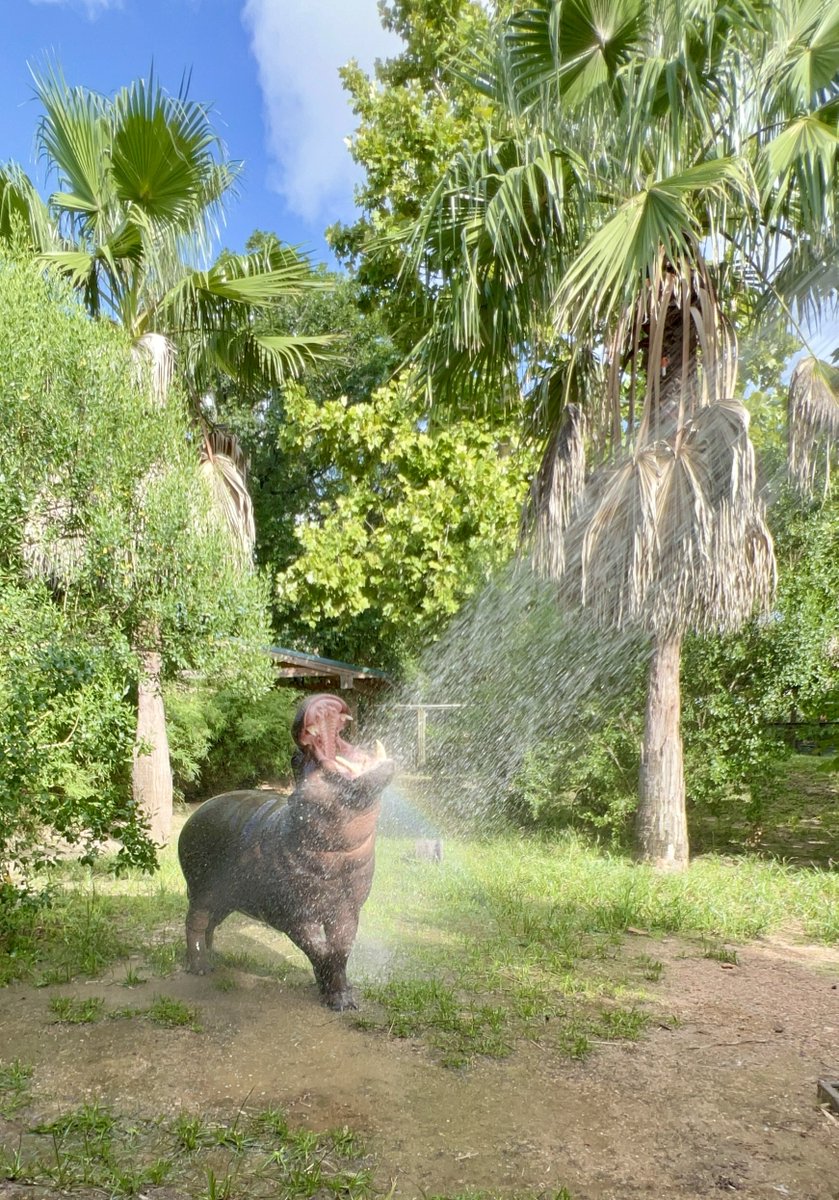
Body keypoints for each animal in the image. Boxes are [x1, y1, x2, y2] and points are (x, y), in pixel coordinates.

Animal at [178, 693, 394, 1010]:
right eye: (294, 758)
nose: (314, 698)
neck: (338, 854)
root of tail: (197, 812)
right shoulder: (295, 914)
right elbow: (320, 950)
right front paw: (336, 997)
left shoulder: (347, 908)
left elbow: (340, 950)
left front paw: (343, 996)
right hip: (203, 888)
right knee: (195, 921)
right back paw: (200, 967)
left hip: (228, 895)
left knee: (210, 924)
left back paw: (214, 957)